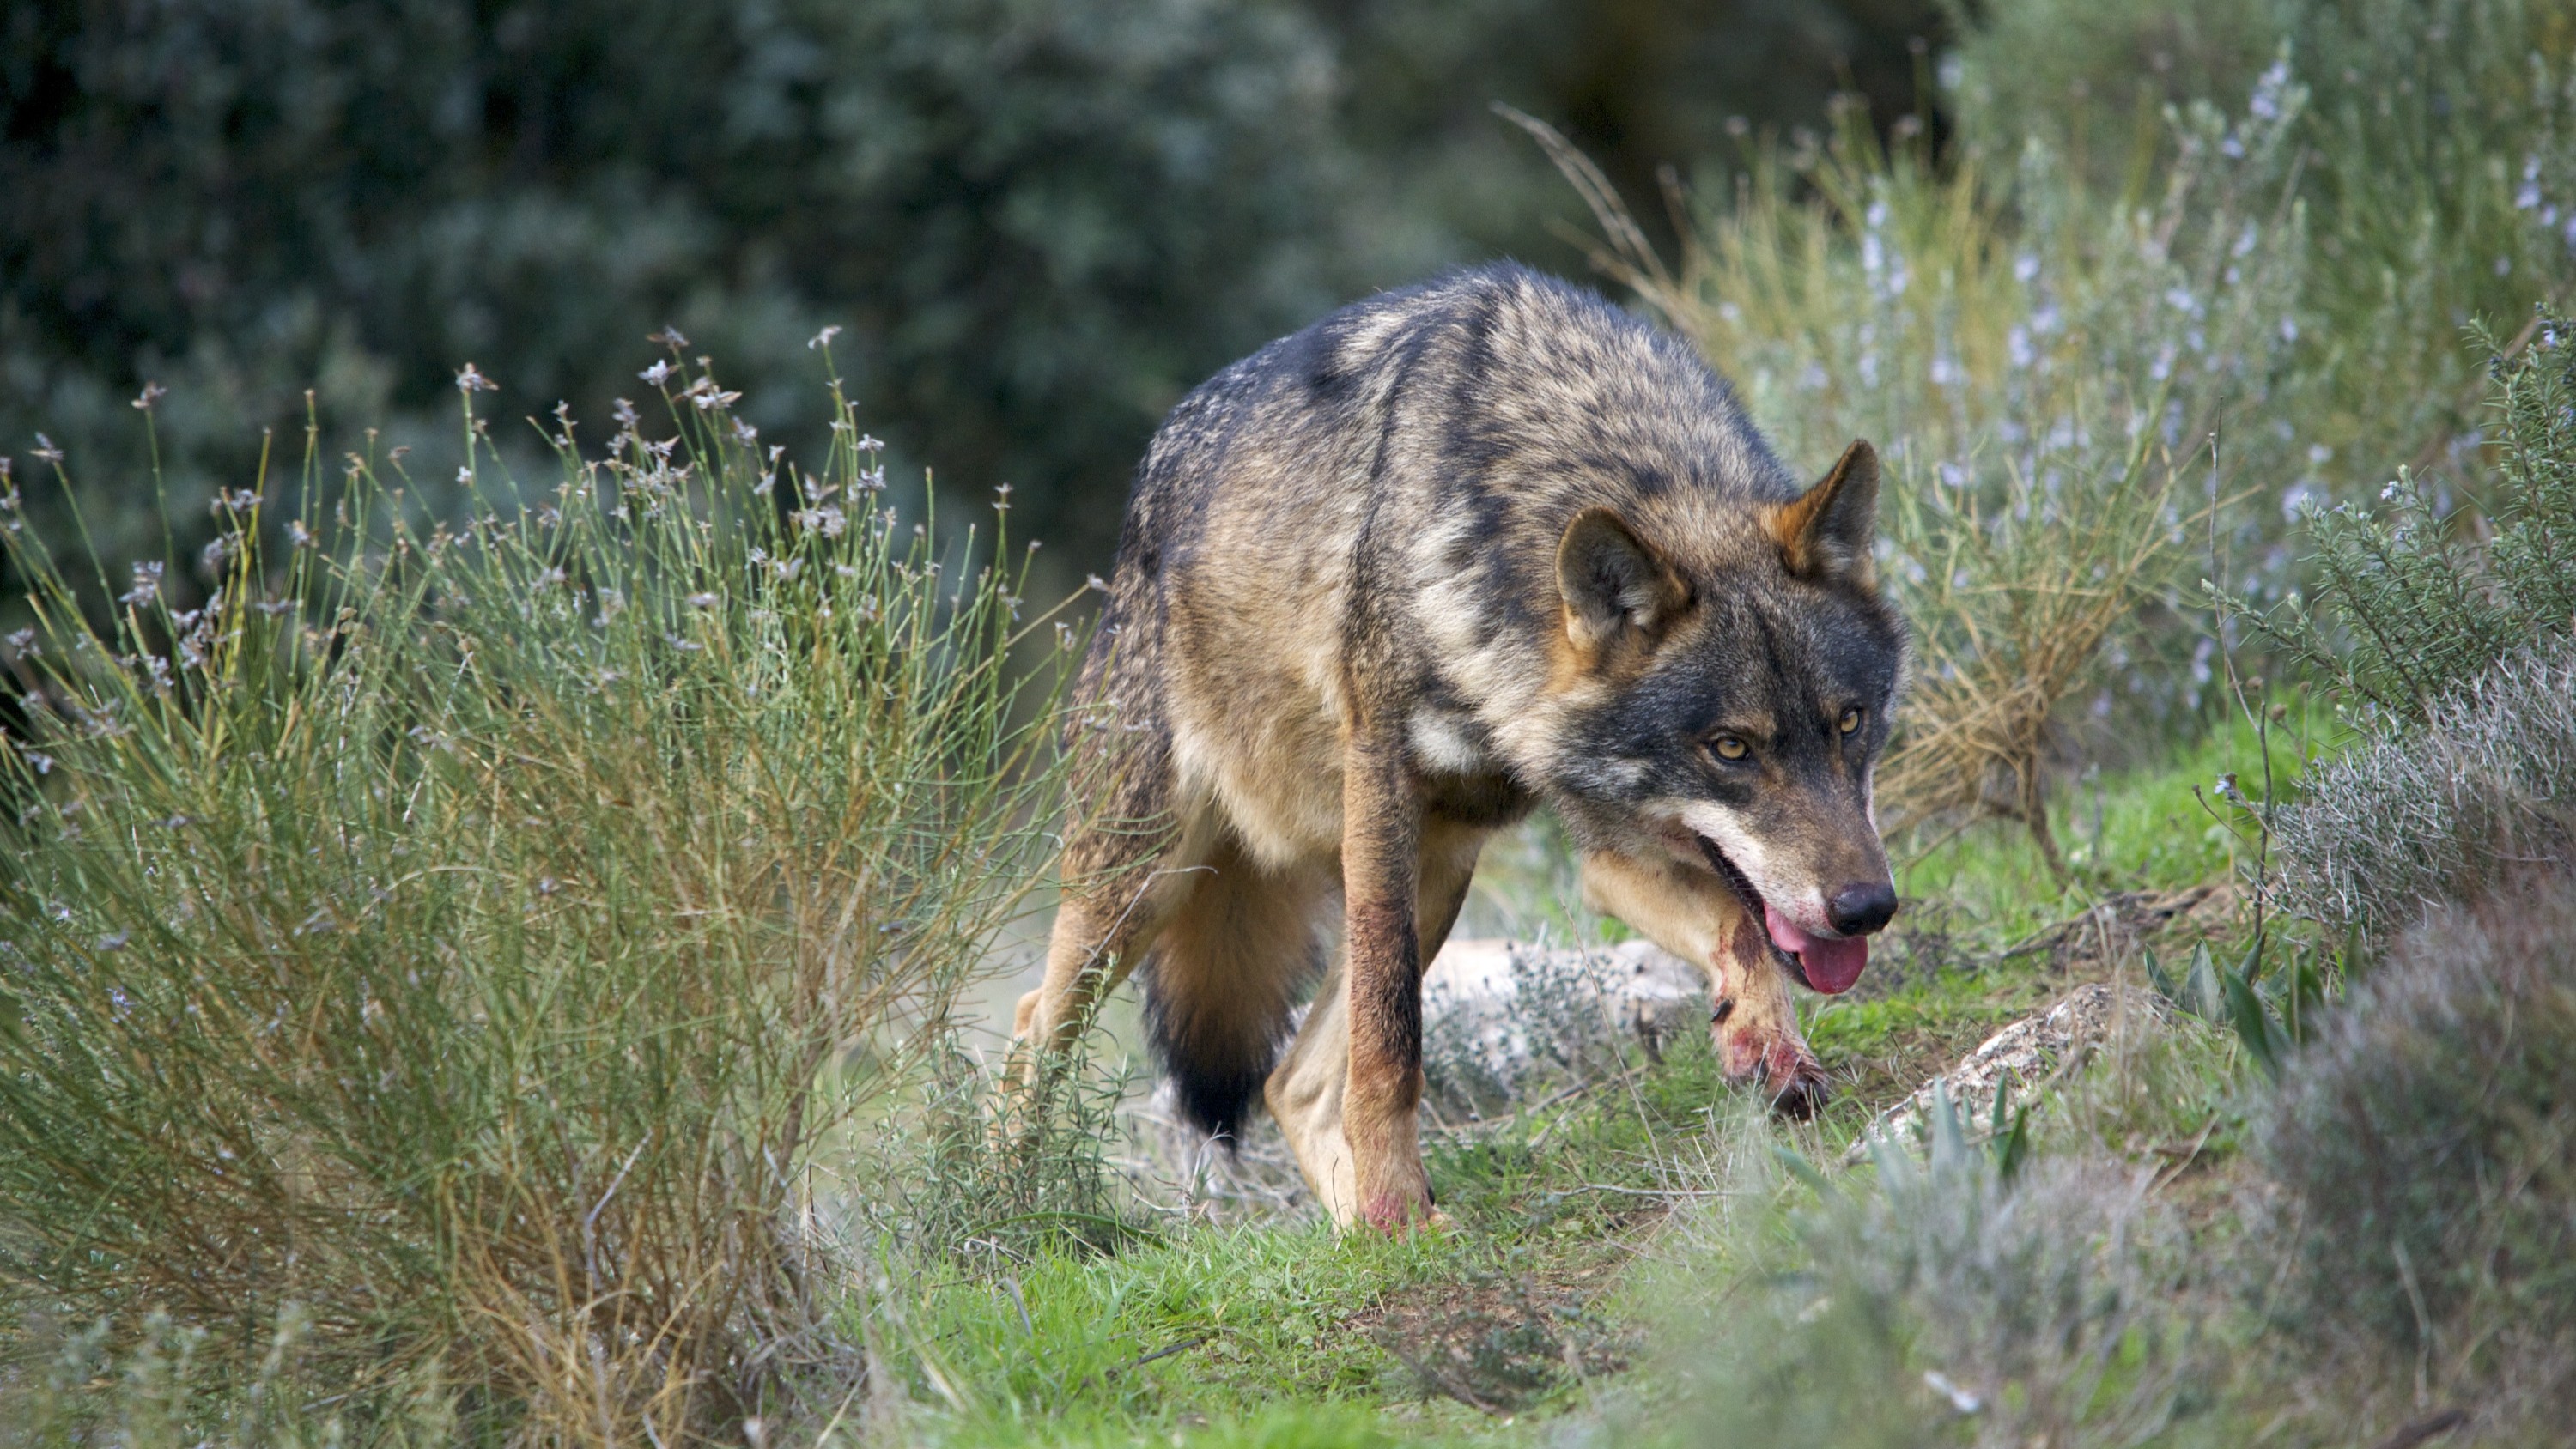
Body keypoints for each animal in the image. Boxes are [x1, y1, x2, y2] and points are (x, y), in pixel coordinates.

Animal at [1009, 263, 1904, 1229]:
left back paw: (1369, 1234)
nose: (1867, 908)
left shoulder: (1610, 846)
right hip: (1146, 883)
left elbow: (1741, 927)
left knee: (1292, 1083)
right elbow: (1391, 1039)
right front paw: (1395, 1196)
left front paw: (1766, 1047)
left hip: (1437, 871)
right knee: (1031, 1028)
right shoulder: (1382, 788)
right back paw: (1008, 1208)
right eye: (1732, 748)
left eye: (1850, 722)